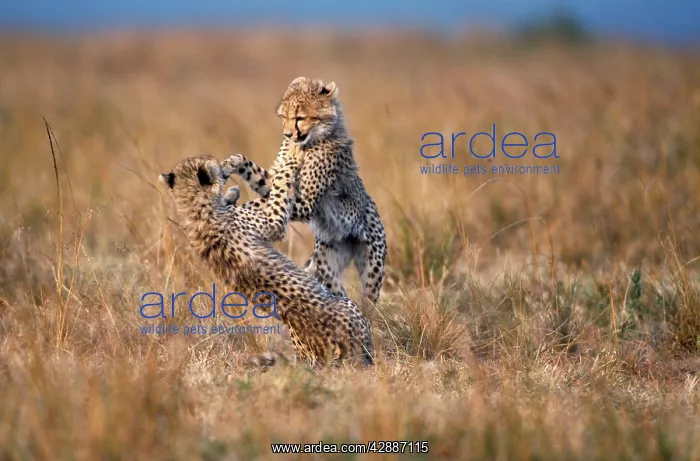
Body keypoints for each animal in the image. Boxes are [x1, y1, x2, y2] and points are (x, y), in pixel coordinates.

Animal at [158, 145, 374, 368]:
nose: (222, 169)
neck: (194, 209)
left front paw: (230, 193)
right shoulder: (273, 223)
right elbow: (279, 191)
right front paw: (291, 160)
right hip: (351, 309)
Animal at [225, 76, 387, 307]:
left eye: (300, 117)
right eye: (284, 117)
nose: (288, 134)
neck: (311, 140)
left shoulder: (306, 203)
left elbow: (271, 198)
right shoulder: (273, 180)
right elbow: (261, 178)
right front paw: (231, 163)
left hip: (372, 270)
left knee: (370, 303)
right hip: (328, 264)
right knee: (337, 291)